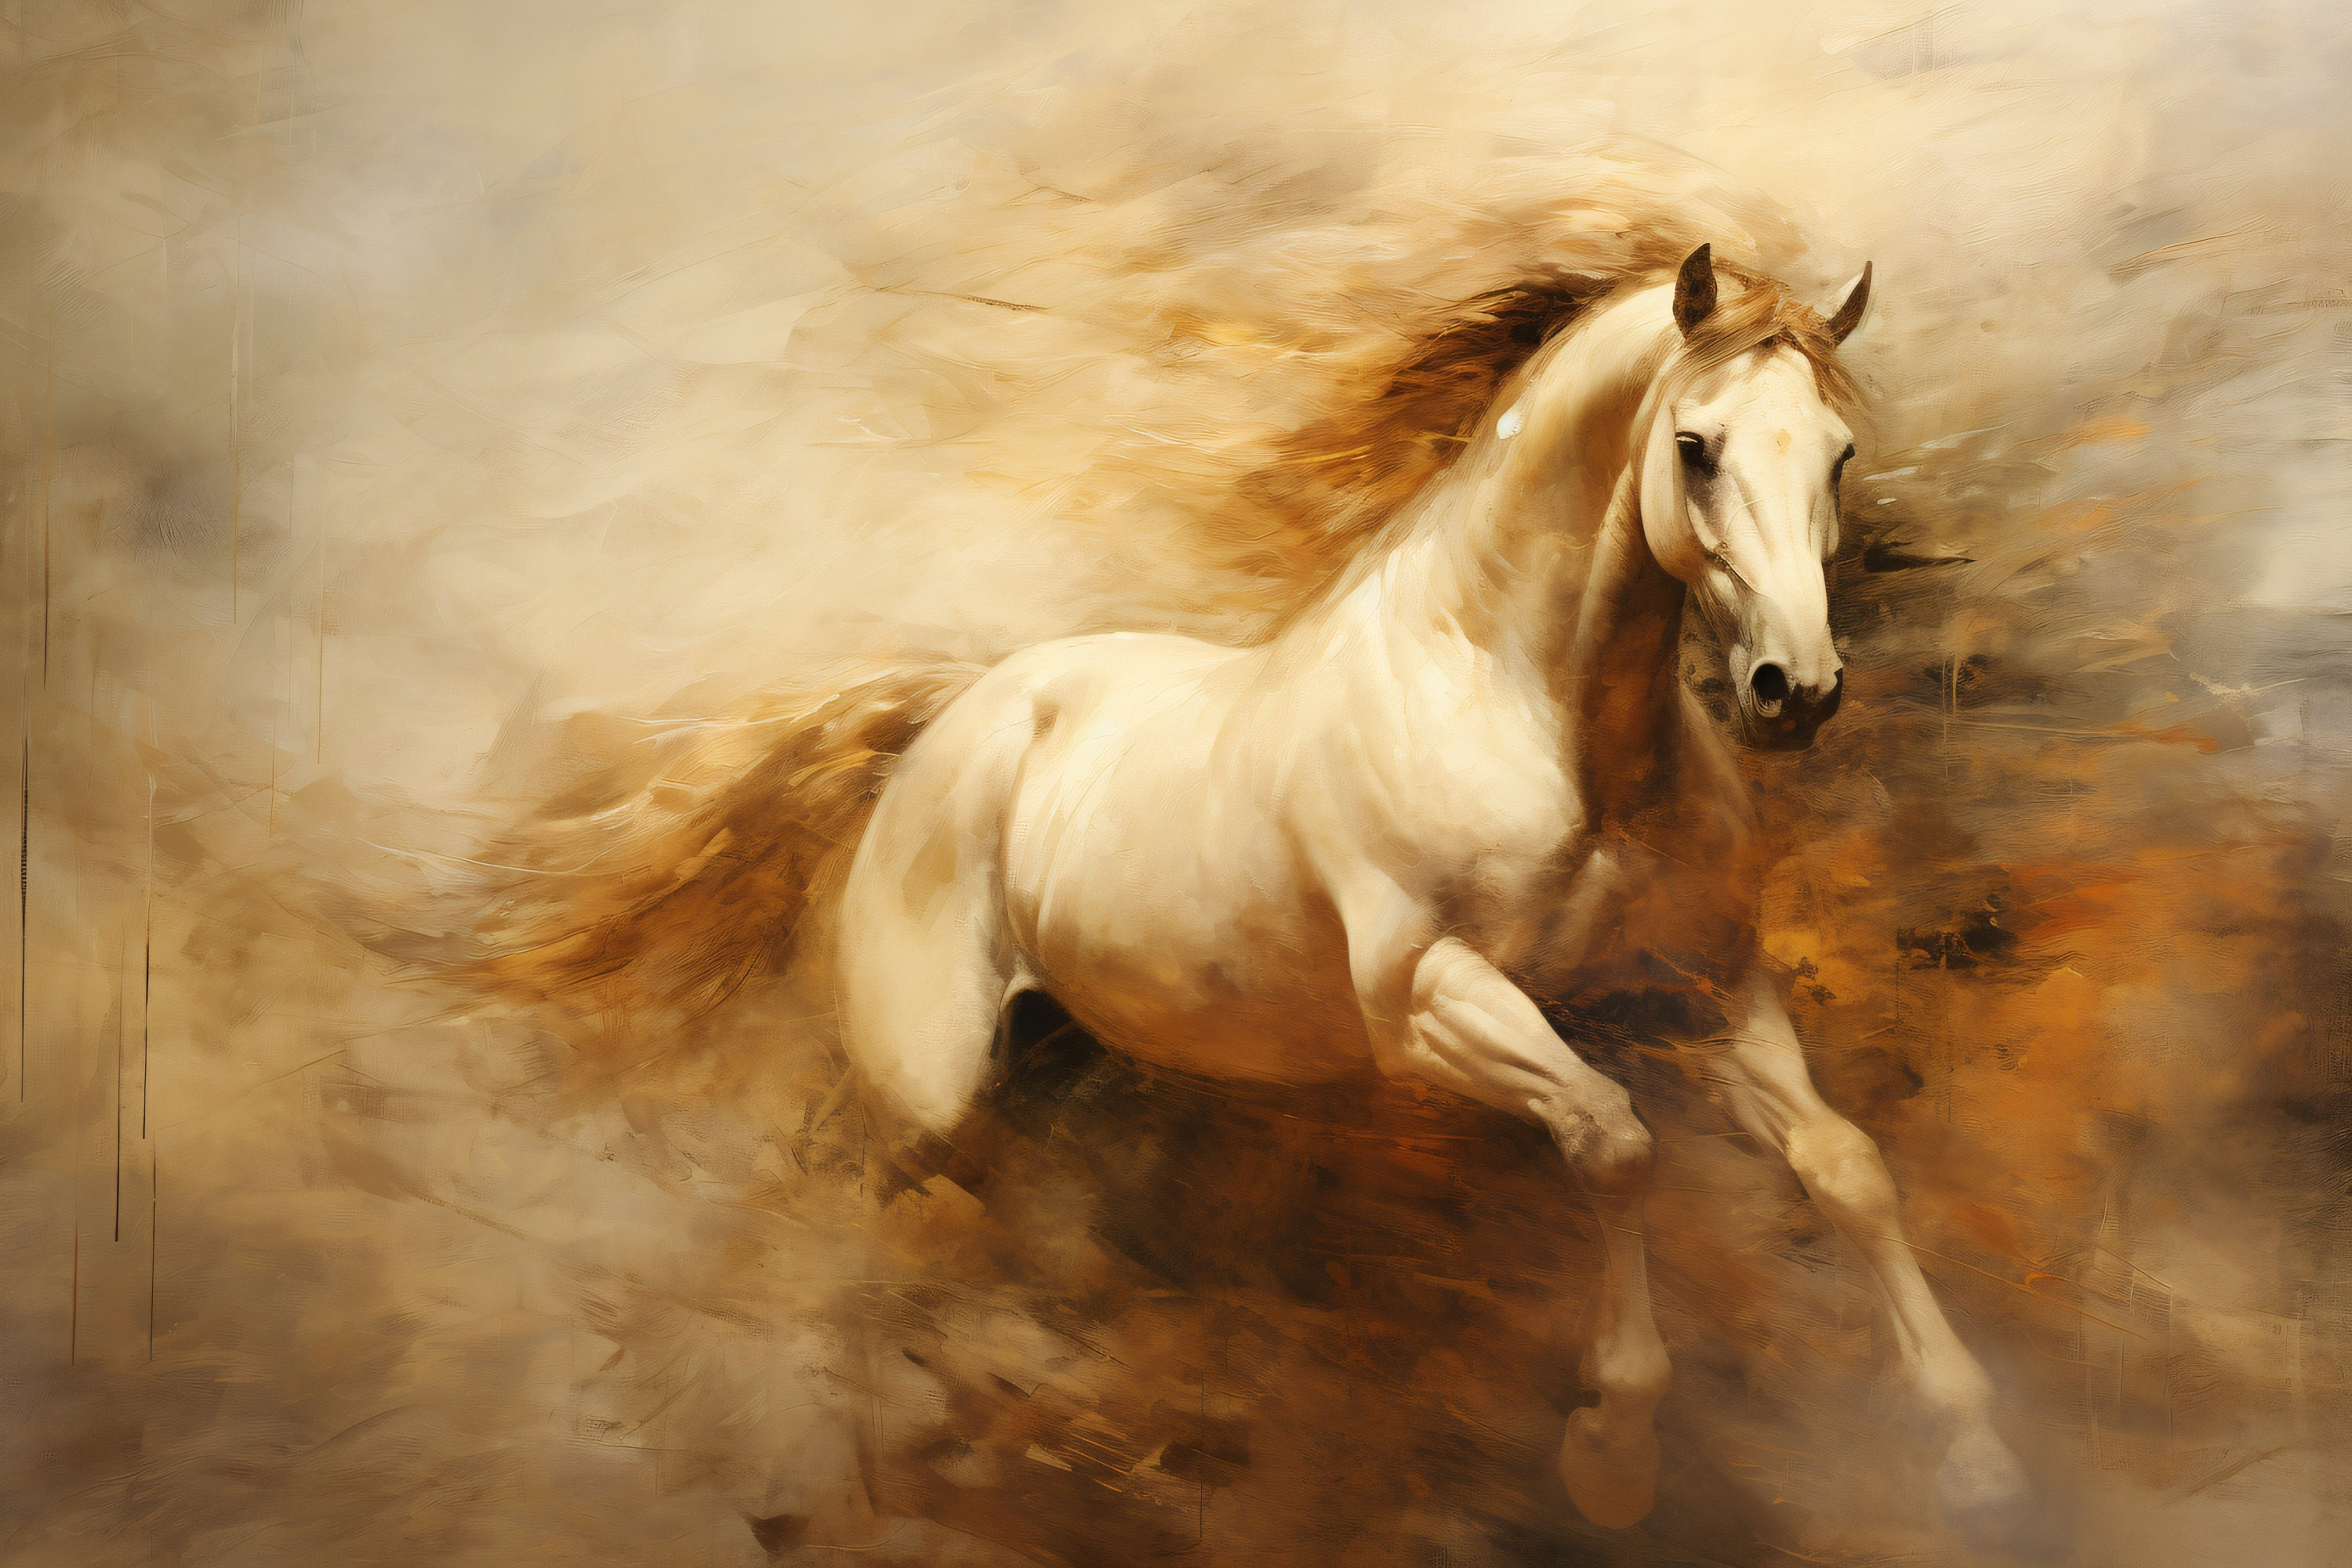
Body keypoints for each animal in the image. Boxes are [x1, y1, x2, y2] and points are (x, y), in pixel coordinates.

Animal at [475, 242, 2031, 1536]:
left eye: (1836, 453)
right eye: (1697, 450)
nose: (1794, 691)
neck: (1551, 725)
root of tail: (945, 728)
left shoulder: (1698, 988)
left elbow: (1846, 1168)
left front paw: (1975, 1454)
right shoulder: (1433, 1012)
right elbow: (1614, 1145)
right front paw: (1611, 1453)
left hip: (1067, 1082)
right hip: (931, 1100)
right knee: (879, 1256)